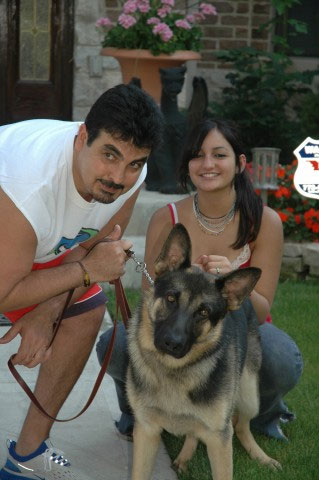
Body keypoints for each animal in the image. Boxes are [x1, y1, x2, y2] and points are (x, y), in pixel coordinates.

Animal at [126, 225, 282, 480]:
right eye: (171, 298)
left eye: (203, 312)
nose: (172, 343)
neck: (174, 370)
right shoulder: (147, 431)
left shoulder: (219, 439)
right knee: (195, 431)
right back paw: (184, 457)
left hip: (249, 395)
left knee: (242, 426)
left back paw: (261, 456)